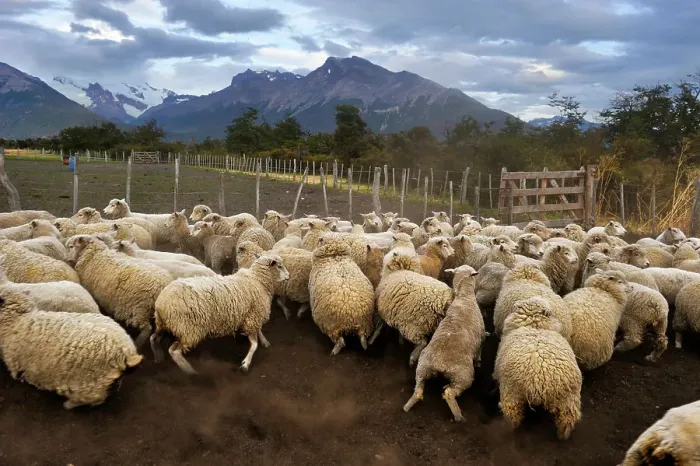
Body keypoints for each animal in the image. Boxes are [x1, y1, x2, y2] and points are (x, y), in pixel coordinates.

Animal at [0, 289, 143, 409]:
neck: (17, 319)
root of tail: (126, 351)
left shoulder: (15, 364)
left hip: (89, 384)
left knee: (94, 399)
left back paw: (69, 404)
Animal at [151, 253, 288, 373]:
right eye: (280, 266)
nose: (289, 276)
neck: (257, 280)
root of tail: (161, 303)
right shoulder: (253, 316)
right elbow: (254, 345)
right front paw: (245, 364)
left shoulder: (252, 314)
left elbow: (258, 332)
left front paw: (264, 341)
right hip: (189, 329)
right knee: (174, 351)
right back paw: (188, 370)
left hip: (164, 325)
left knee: (153, 338)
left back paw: (158, 356)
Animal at [403, 265, 484, 422]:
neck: (464, 298)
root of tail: (439, 364)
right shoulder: (481, 337)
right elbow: (479, 351)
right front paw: (478, 361)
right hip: (463, 375)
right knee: (449, 393)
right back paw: (459, 416)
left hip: (422, 367)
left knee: (418, 390)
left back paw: (407, 407)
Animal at [494, 297, 582, 440]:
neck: (534, 327)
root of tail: (541, 381)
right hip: (569, 400)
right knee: (566, 421)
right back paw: (562, 436)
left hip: (511, 393)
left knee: (512, 418)